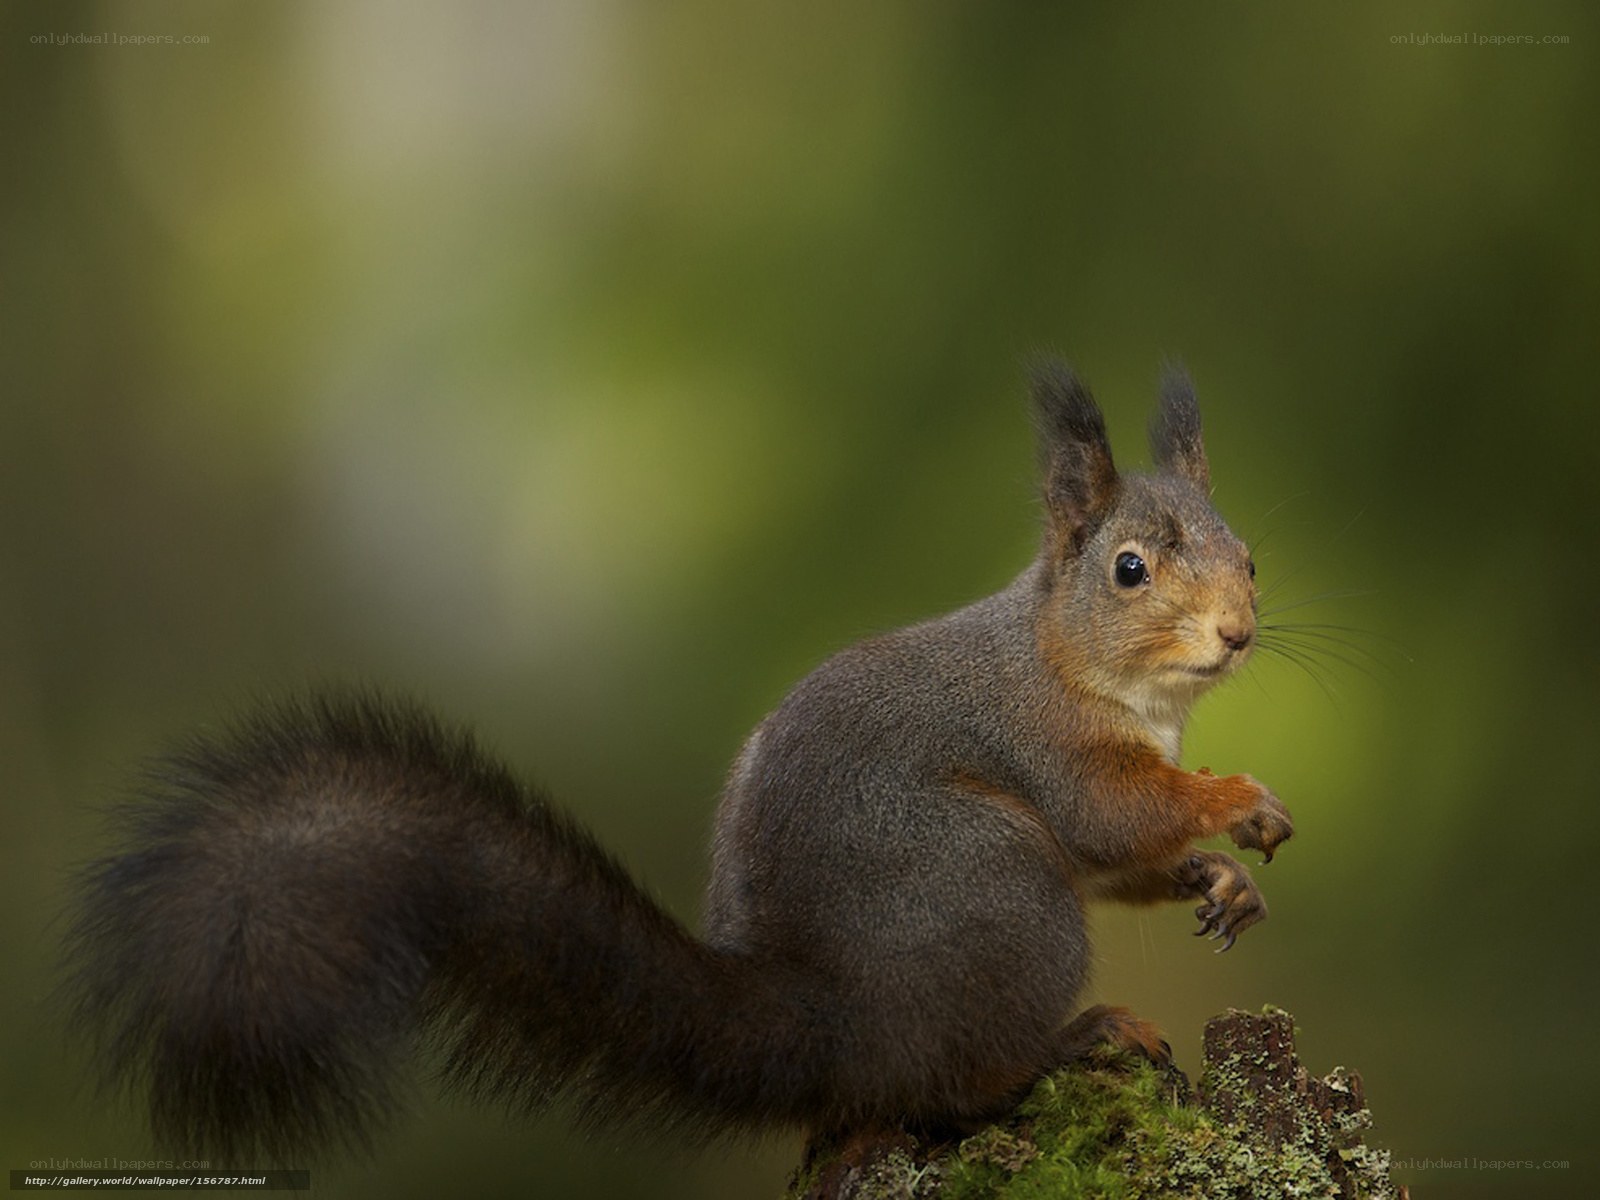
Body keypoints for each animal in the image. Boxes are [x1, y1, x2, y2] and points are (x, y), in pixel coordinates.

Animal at [65, 360, 1292, 1163]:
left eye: (1247, 554)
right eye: (1129, 569)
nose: (1238, 633)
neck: (1094, 672)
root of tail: (828, 1025)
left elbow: (1129, 858)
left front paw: (1221, 877)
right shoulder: (1046, 745)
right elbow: (1112, 817)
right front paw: (1235, 800)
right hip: (996, 887)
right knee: (957, 1083)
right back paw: (1074, 1040)